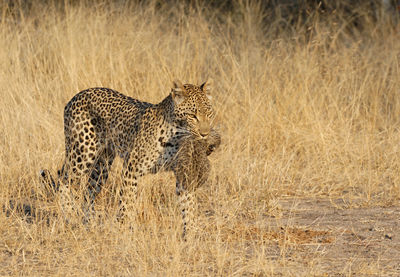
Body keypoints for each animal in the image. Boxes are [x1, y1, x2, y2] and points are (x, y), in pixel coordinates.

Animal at [39, 80, 220, 235]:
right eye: (193, 115)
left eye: (209, 114)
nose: (205, 134)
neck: (175, 137)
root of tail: (76, 96)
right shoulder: (131, 168)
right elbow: (127, 202)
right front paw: (125, 230)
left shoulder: (184, 174)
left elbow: (189, 205)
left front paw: (191, 234)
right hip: (83, 152)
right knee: (64, 179)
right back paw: (70, 215)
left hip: (102, 165)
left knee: (88, 191)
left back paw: (89, 221)